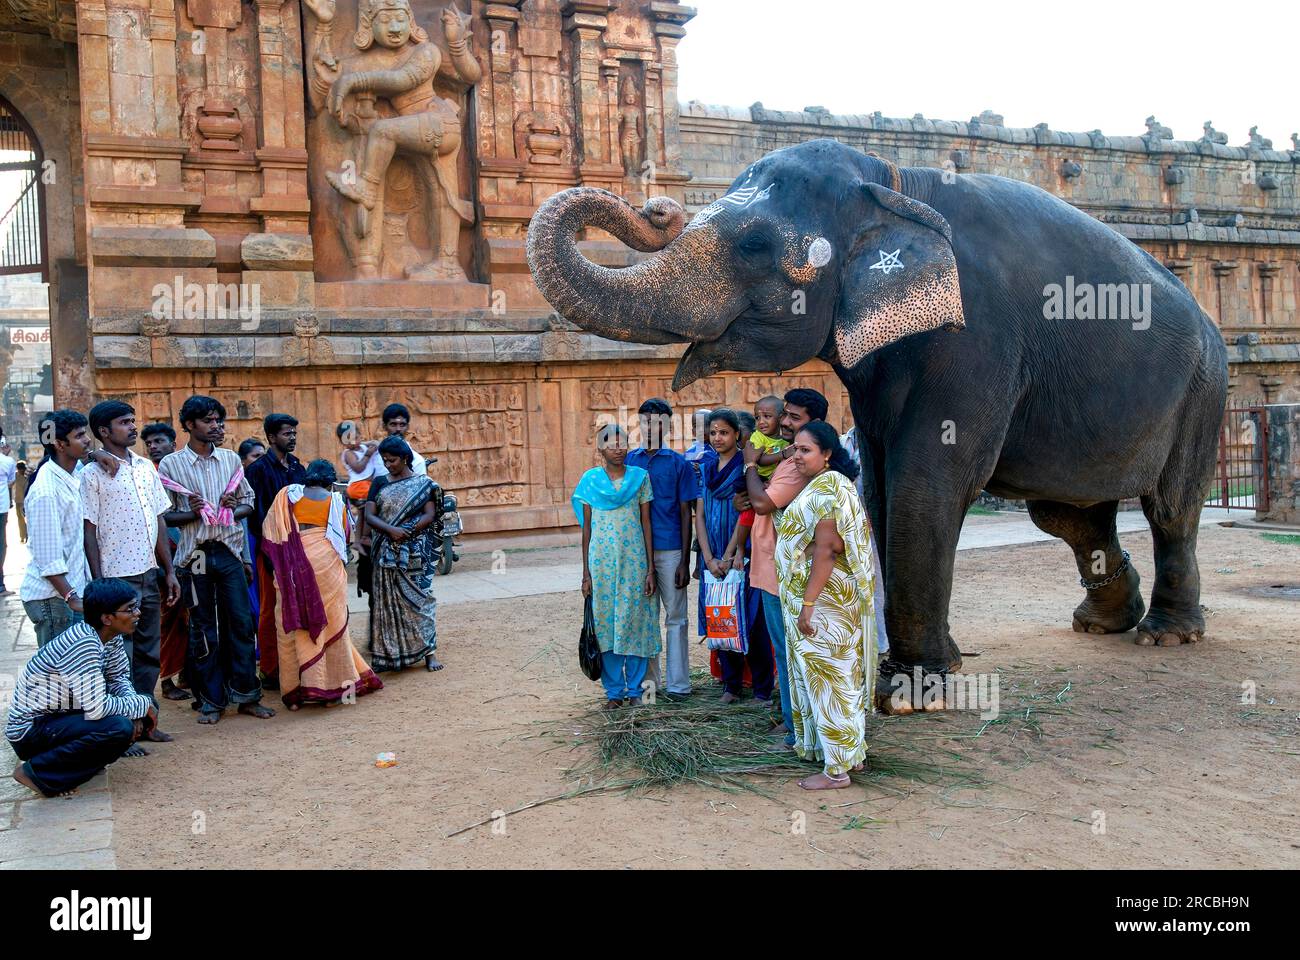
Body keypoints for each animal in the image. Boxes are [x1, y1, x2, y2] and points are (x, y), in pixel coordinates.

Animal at [522, 136, 1222, 686]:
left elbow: (929, 479)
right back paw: (1104, 623)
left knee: (1170, 508)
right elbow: (881, 482)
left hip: (1204, 388)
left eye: (753, 246)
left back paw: (1167, 633)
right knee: (1068, 514)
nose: (657, 206)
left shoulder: (980, 335)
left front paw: (912, 688)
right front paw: (911, 672)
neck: (891, 181)